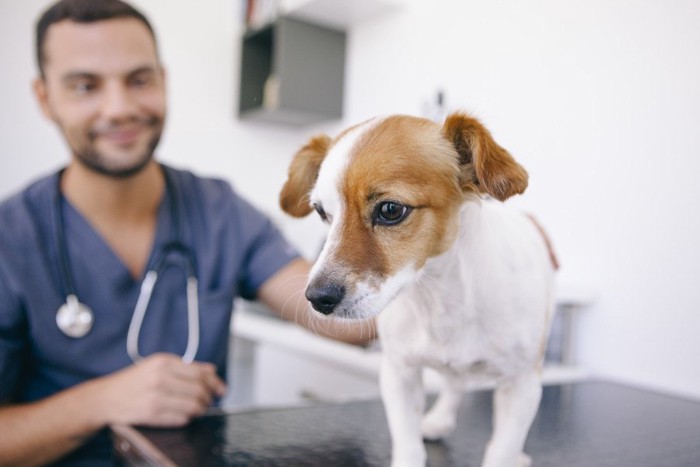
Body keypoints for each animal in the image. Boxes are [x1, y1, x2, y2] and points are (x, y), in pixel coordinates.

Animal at [278, 111, 556, 466]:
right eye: (322, 212)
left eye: (390, 210)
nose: (317, 298)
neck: (441, 297)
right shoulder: (400, 373)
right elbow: (408, 443)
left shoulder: (522, 385)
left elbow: (500, 449)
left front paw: (508, 454)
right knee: (455, 383)